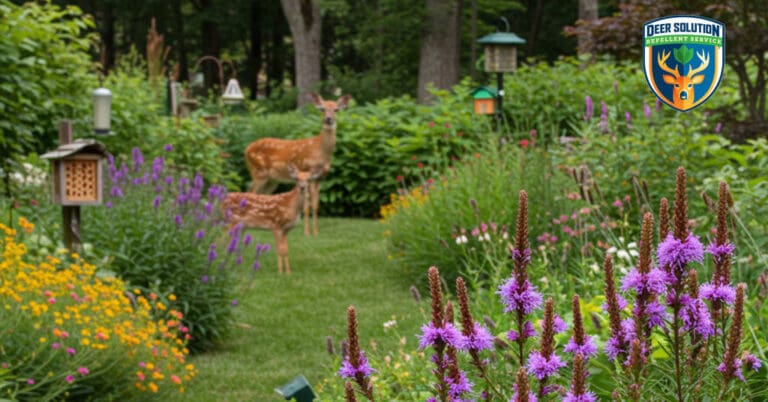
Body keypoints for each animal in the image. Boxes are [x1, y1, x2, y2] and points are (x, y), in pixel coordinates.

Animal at [244, 93, 351, 236]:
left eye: (336, 110)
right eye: (322, 109)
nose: (328, 119)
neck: (320, 150)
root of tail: (246, 150)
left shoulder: (319, 178)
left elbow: (316, 205)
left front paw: (316, 232)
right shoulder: (306, 170)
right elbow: (306, 206)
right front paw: (307, 232)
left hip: (272, 180)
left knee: (261, 195)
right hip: (258, 172)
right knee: (251, 193)